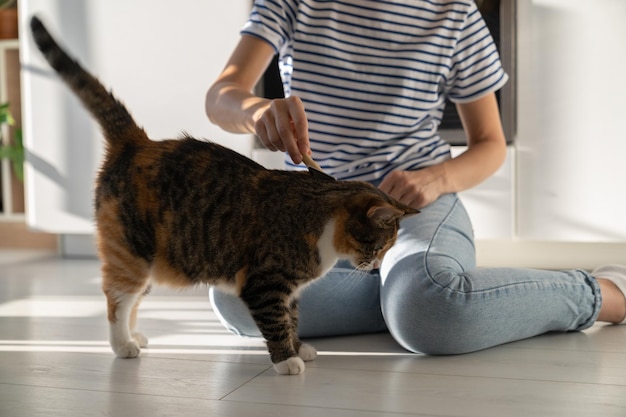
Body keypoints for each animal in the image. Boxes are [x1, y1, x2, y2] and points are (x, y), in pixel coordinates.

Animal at [31, 16, 416, 374]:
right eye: (379, 246)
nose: (376, 267)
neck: (322, 215)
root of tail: (137, 143)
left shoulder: (289, 290)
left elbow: (292, 317)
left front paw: (299, 346)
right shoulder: (265, 281)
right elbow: (276, 322)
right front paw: (287, 360)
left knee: (134, 297)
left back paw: (134, 335)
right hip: (130, 250)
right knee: (117, 297)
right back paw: (122, 343)